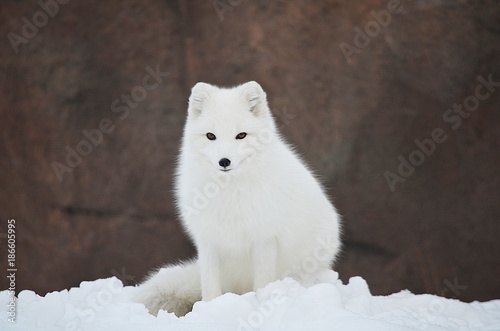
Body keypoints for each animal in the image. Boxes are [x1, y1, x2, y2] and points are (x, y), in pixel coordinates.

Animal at [135, 81, 342, 318]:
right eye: (211, 136)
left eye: (241, 135)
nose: (224, 161)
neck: (229, 192)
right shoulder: (208, 239)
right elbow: (210, 285)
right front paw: (209, 309)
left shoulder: (264, 239)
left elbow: (263, 282)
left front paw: (261, 305)